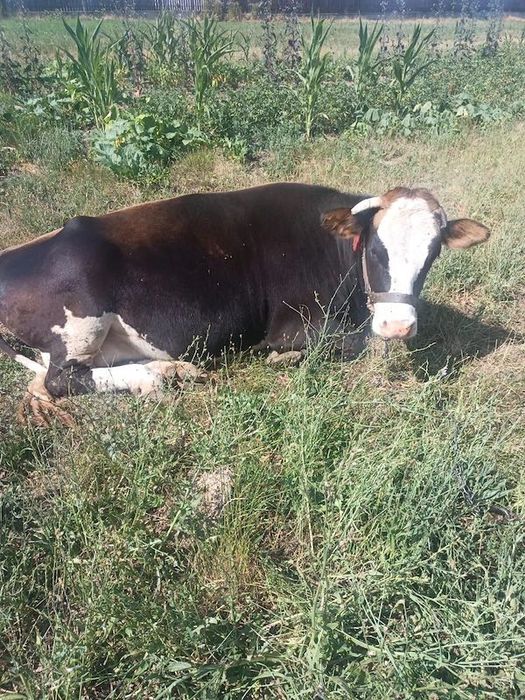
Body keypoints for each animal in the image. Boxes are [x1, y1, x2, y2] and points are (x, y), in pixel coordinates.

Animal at [0, 183, 489, 426]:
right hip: (80, 315)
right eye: (375, 249)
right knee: (61, 380)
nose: (398, 325)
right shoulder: (296, 325)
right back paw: (154, 376)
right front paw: (280, 358)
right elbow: (354, 344)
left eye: (432, 254)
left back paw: (170, 369)